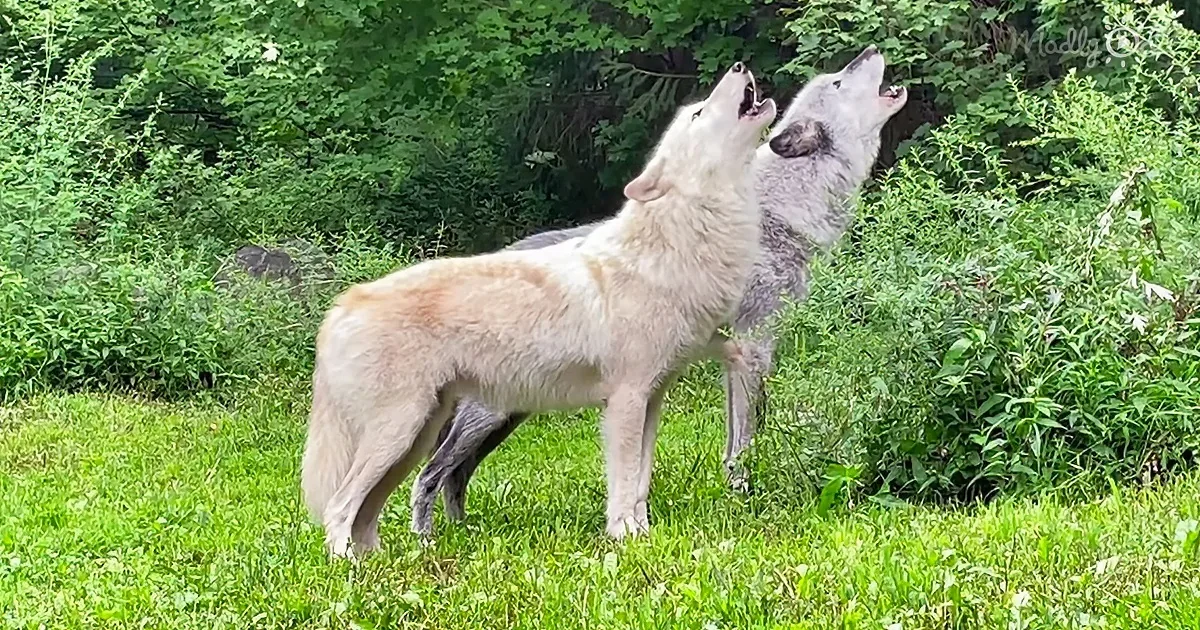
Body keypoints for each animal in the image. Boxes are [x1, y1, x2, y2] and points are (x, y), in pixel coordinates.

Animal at [301, 63, 777, 557]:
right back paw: (350, 568)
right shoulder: (625, 401)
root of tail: (343, 303)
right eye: (698, 113)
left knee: (368, 512)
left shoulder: (652, 400)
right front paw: (623, 538)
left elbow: (640, 485)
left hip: (416, 436)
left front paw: (642, 537)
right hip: (403, 432)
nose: (740, 66)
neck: (673, 245)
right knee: (340, 506)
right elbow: (623, 484)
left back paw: (386, 560)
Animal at [410, 46, 908, 537]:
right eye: (839, 81)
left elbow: (731, 438)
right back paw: (432, 540)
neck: (781, 211)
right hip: (492, 414)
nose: (870, 48)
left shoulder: (733, 359)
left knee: (455, 474)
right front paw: (745, 493)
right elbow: (746, 438)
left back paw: (463, 532)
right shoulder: (752, 351)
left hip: (510, 411)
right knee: (433, 472)